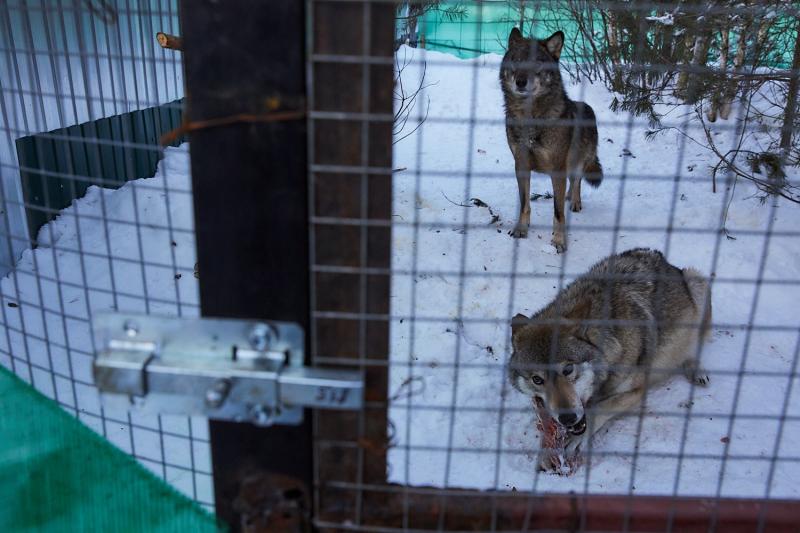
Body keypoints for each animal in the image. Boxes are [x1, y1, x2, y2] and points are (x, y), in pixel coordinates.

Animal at [500, 28, 603, 252]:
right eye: (516, 60)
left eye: (537, 62)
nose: (521, 82)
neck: (531, 120)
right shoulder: (521, 165)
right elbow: (524, 203)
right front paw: (521, 229)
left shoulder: (557, 169)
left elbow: (558, 212)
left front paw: (559, 241)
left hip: (577, 161)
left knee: (577, 181)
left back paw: (574, 202)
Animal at [507, 248, 712, 471]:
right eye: (537, 379)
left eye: (568, 369)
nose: (568, 418)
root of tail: (667, 262)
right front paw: (546, 453)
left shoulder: (635, 391)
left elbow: (600, 408)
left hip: (696, 282)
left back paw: (695, 370)